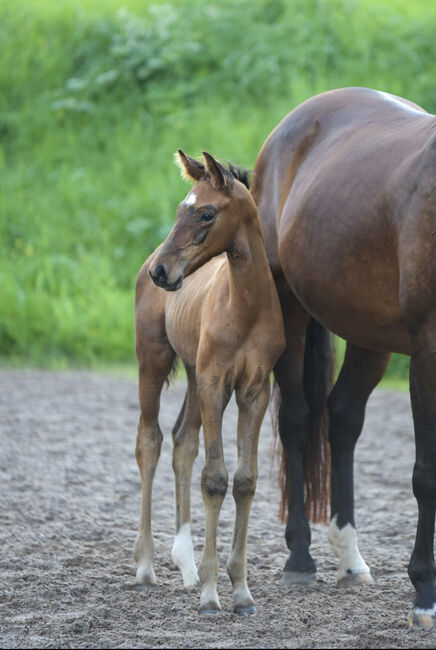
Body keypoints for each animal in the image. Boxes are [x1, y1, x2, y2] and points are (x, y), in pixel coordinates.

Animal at [133, 151, 284, 612]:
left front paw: (241, 590)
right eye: (180, 209)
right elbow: (215, 479)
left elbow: (245, 481)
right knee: (150, 442)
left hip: (194, 376)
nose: (161, 271)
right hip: (153, 361)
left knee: (183, 442)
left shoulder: (254, 391)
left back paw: (185, 565)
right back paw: (146, 566)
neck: (245, 306)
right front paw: (212, 592)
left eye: (206, 213)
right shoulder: (217, 384)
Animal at [250, 88, 436, 624]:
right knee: (296, 420)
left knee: (343, 418)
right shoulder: (427, 353)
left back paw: (350, 560)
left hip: (369, 334)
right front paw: (425, 592)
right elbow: (426, 473)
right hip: (287, 306)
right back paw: (300, 559)